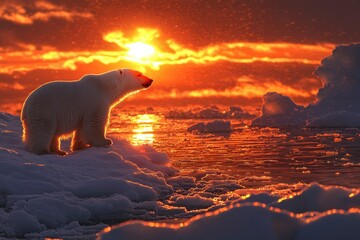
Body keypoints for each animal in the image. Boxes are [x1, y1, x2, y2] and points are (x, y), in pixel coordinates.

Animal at [21, 69, 153, 156]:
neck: (105, 87)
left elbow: (81, 128)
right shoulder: (96, 101)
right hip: (44, 110)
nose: (151, 79)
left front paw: (80, 146)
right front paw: (105, 141)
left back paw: (59, 151)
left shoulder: (84, 112)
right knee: (43, 130)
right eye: (139, 74)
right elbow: (94, 122)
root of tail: (25, 106)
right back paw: (44, 151)